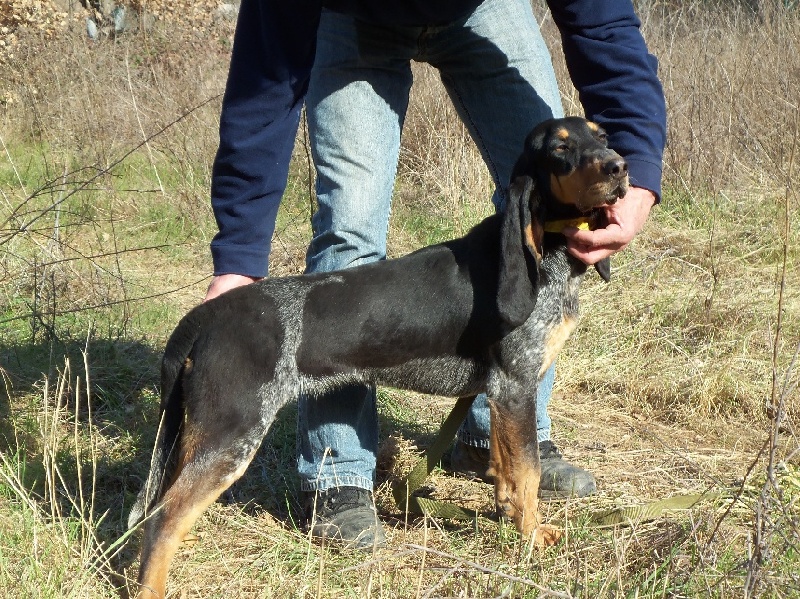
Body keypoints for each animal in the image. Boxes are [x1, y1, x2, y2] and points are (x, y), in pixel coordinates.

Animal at [130, 115, 632, 596]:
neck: (548, 252)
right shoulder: (514, 387)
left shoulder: (500, 396)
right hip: (232, 433)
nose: (619, 167)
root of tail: (208, 315)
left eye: (603, 136)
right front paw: (533, 537)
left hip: (200, 432)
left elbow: (507, 477)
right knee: (161, 520)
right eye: (561, 148)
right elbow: (526, 475)